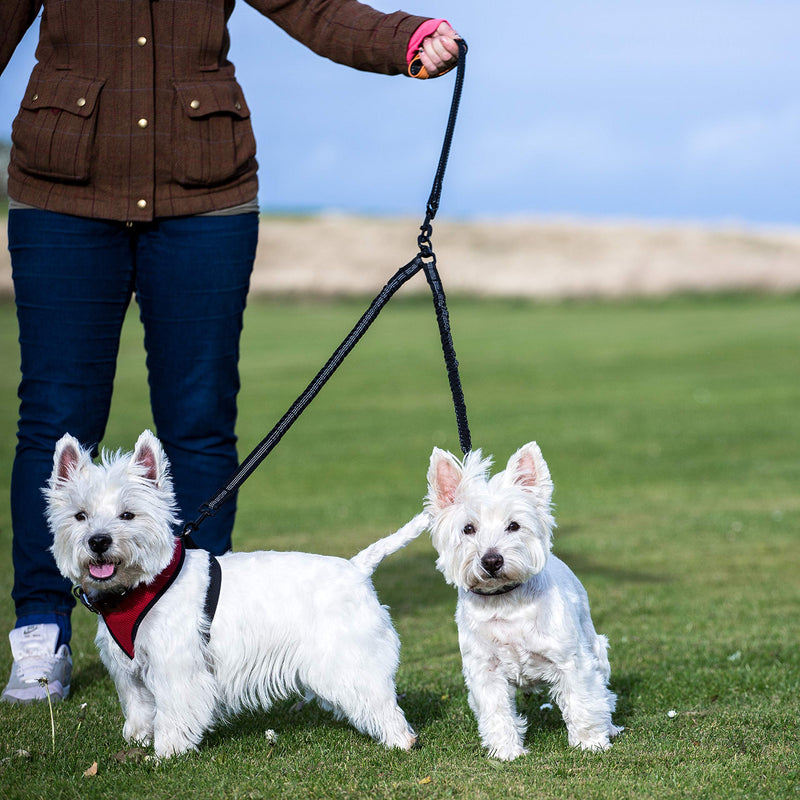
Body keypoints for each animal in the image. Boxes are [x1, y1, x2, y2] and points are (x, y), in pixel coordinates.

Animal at [47, 432, 428, 756]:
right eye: (80, 515)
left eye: (128, 514)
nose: (98, 541)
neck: (138, 587)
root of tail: (357, 567)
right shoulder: (128, 669)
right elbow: (139, 707)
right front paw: (139, 740)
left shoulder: (176, 665)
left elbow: (172, 709)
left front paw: (165, 753)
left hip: (349, 655)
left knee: (380, 700)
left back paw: (400, 741)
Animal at [424, 440, 620, 760]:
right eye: (468, 528)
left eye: (514, 525)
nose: (491, 560)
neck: (505, 601)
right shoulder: (485, 670)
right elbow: (497, 712)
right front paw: (506, 751)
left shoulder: (571, 660)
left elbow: (582, 700)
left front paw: (590, 743)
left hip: (595, 646)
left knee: (603, 692)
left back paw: (610, 727)